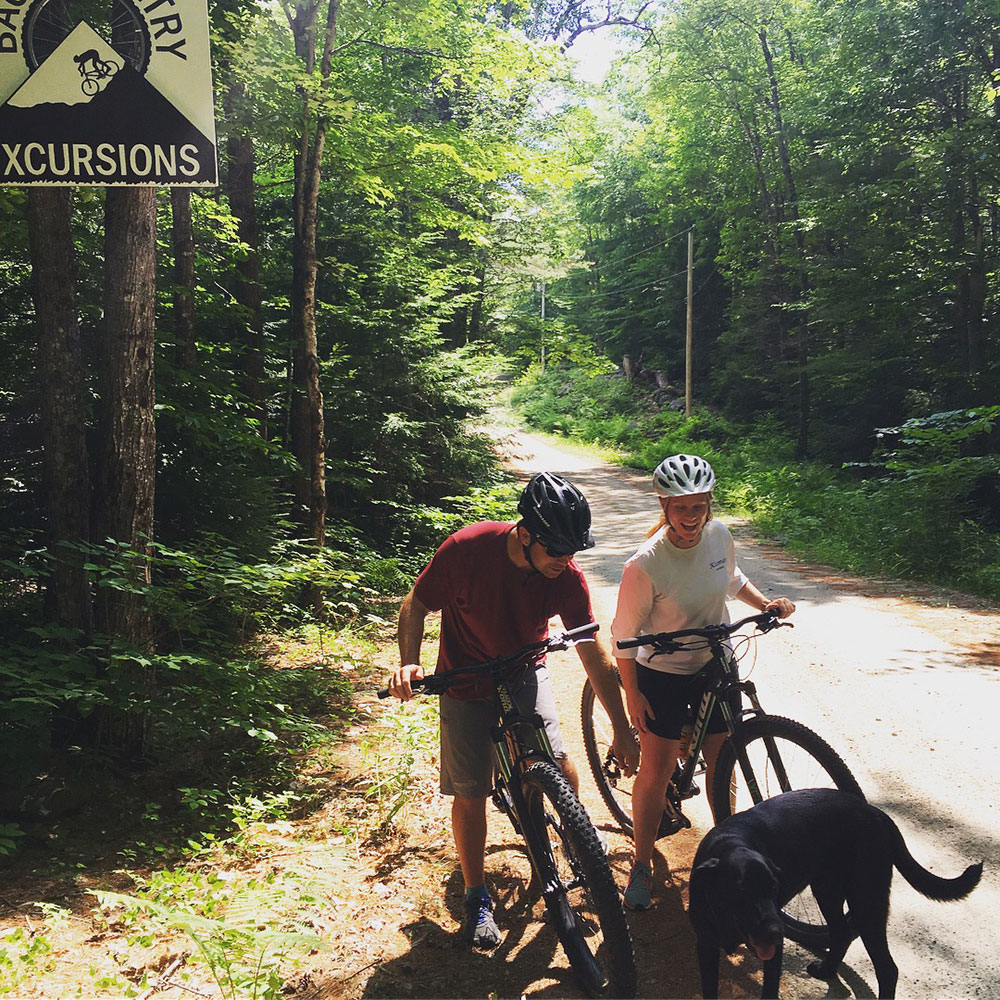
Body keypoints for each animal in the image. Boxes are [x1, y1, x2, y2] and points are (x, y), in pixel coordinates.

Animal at [692, 788, 980, 1000]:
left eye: (774, 888)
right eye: (741, 891)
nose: (776, 932)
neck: (729, 843)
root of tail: (877, 814)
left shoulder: (773, 952)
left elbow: (769, 991)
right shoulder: (706, 945)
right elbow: (709, 990)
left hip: (866, 901)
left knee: (888, 969)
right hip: (828, 891)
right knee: (842, 933)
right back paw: (827, 970)